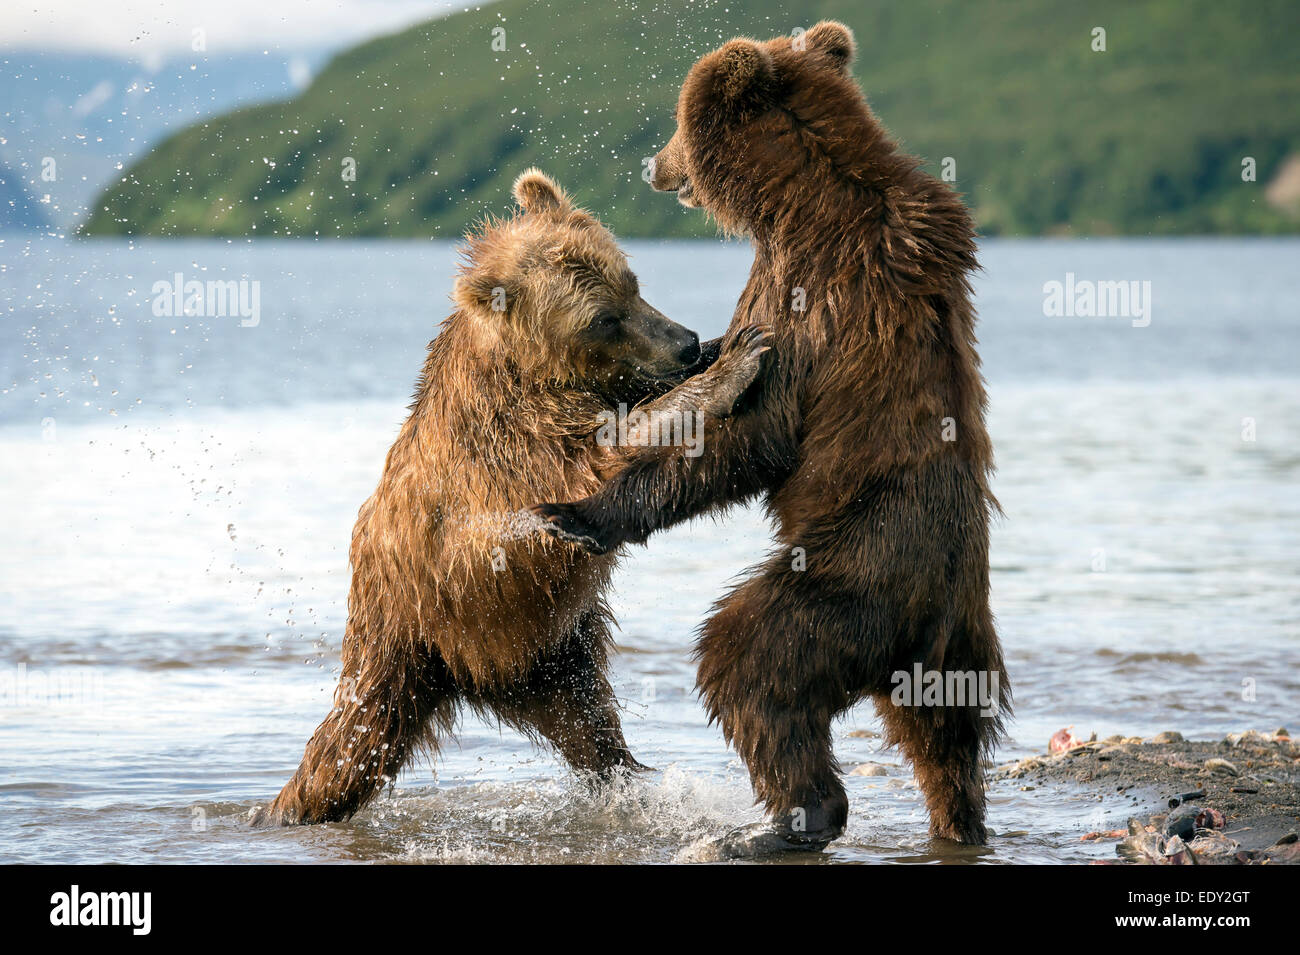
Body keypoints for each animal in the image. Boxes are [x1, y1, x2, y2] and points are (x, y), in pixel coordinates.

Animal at [248, 167, 764, 826]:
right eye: (602, 319)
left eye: (632, 282)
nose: (686, 342)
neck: (529, 371)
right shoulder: (516, 443)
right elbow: (606, 448)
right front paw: (737, 361)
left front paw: (728, 342)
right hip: (435, 625)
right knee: (354, 745)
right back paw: (289, 805)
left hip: (550, 648)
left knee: (588, 722)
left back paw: (630, 778)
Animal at [533, 22, 1008, 857]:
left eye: (676, 123)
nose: (656, 165)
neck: (795, 195)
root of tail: (933, 613)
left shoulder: (805, 293)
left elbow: (751, 431)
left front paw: (579, 512)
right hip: (953, 647)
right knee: (946, 740)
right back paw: (958, 819)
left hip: (850, 570)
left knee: (751, 662)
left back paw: (776, 824)